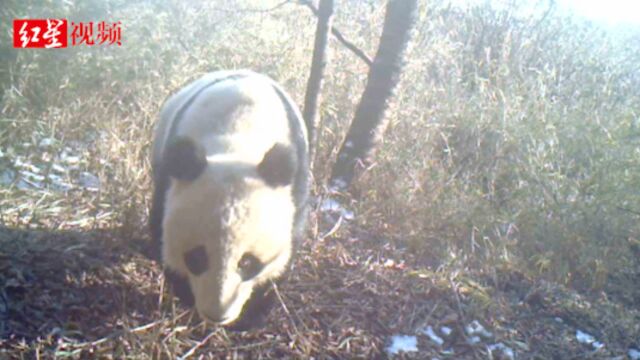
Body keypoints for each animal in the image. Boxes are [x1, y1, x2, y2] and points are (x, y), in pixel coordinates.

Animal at [150, 70, 310, 330]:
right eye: (196, 257)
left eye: (248, 263)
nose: (218, 315)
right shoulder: (166, 182)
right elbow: (161, 238)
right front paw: (187, 299)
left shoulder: (296, 189)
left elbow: (286, 251)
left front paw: (253, 315)